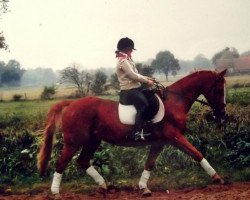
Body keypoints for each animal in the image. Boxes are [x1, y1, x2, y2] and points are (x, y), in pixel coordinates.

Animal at [37, 69, 229, 196]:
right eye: (219, 89)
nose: (223, 115)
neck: (174, 101)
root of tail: (71, 103)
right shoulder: (175, 137)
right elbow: (197, 154)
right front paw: (217, 178)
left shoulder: (159, 142)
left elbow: (149, 164)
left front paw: (144, 187)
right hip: (74, 142)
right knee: (61, 163)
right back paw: (55, 192)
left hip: (93, 141)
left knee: (82, 161)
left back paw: (104, 186)